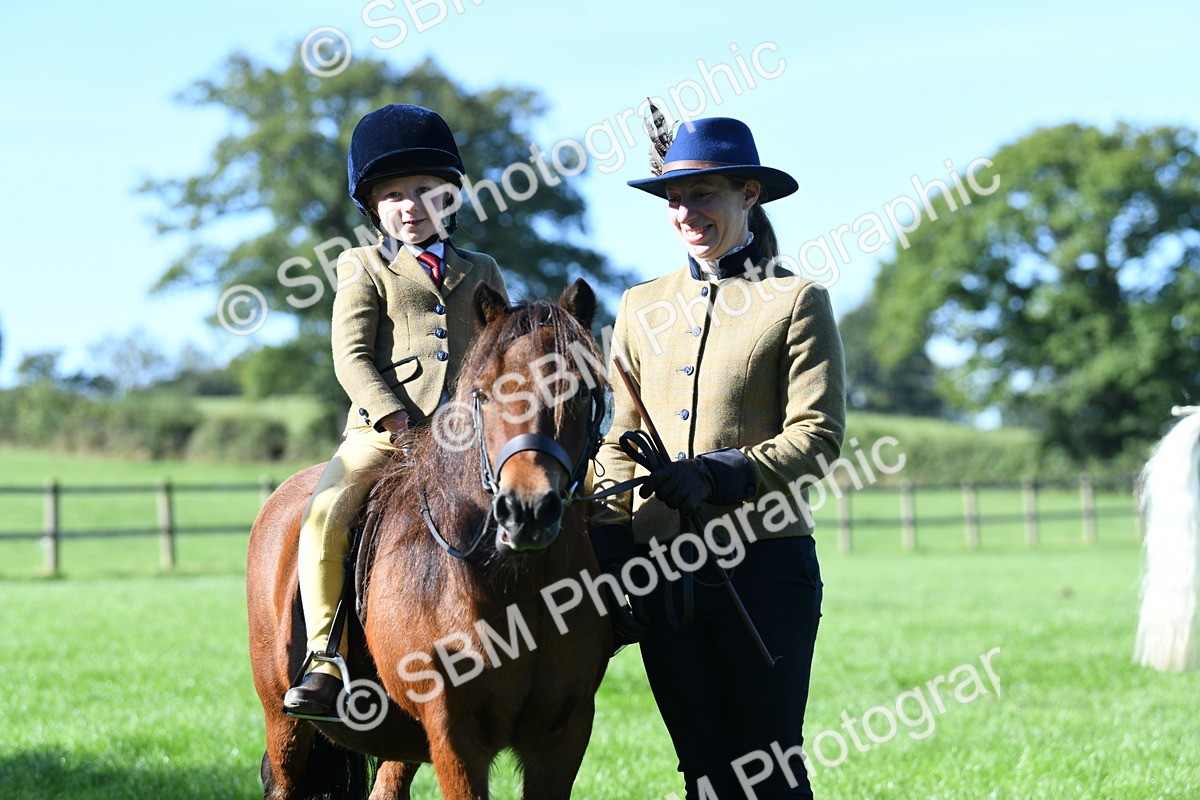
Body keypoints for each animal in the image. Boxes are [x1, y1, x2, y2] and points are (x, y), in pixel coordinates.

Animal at [246, 279, 613, 799]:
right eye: (483, 394)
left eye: (581, 392)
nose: (527, 512)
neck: (517, 583)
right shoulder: (454, 733)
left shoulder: (564, 733)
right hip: (284, 724)